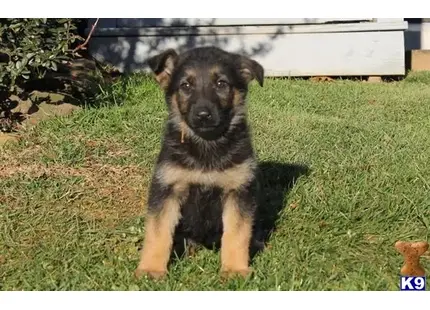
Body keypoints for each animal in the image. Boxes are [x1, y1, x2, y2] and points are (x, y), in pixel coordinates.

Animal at [134, 46, 264, 280]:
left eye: (221, 84)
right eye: (186, 86)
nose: (203, 115)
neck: (206, 143)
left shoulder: (238, 192)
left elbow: (237, 234)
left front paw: (234, 270)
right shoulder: (166, 189)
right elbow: (158, 233)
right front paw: (151, 269)